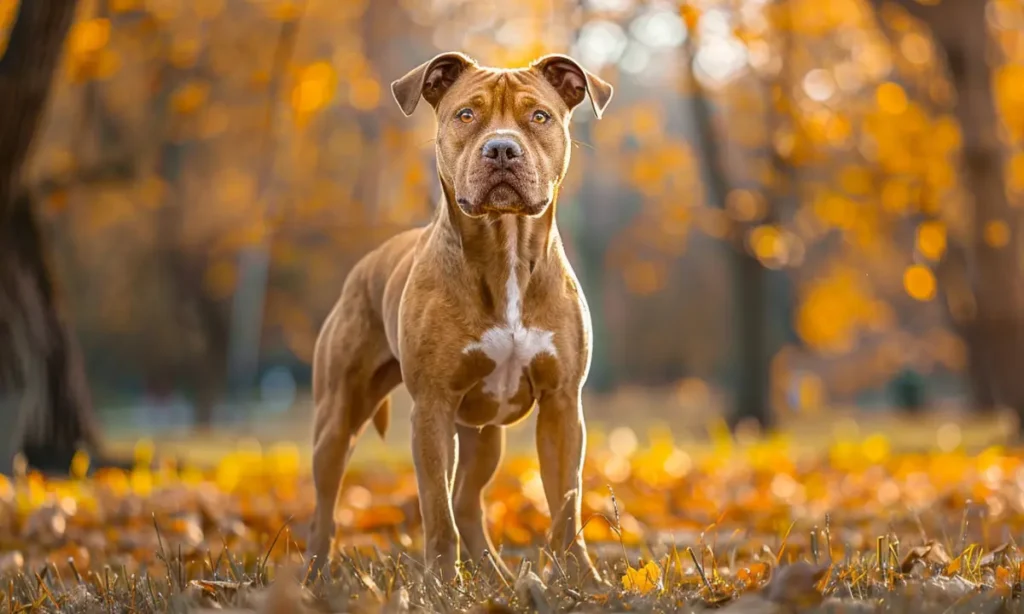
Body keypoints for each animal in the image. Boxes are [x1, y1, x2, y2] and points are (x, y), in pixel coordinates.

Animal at [301, 50, 606, 581]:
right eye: (466, 114)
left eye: (539, 116)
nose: (501, 149)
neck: (506, 249)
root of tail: (365, 264)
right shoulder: (433, 408)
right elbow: (435, 512)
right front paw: (441, 584)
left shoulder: (563, 405)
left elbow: (566, 503)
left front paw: (583, 580)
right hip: (338, 417)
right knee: (327, 505)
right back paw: (314, 577)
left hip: (485, 436)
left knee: (467, 500)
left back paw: (498, 578)